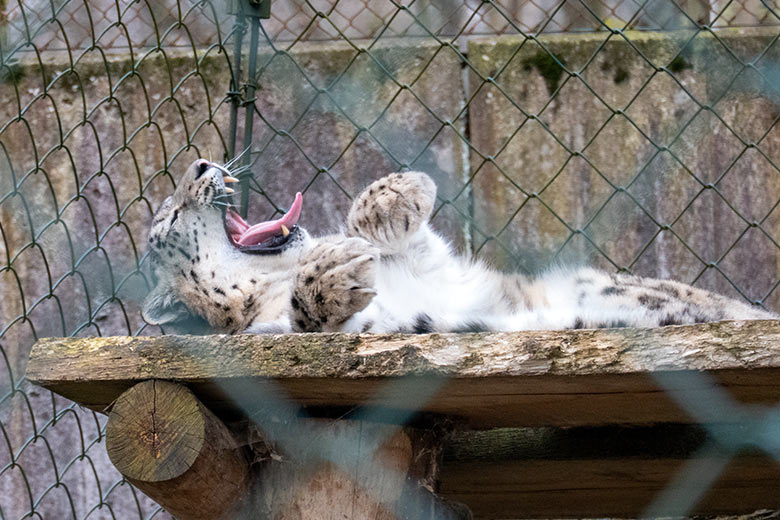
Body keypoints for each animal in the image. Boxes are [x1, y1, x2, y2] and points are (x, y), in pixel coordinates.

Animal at [143, 158, 776, 336]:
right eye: (167, 219)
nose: (203, 164)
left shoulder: (439, 270)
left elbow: (411, 242)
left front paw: (391, 196)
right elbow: (306, 320)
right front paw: (330, 272)